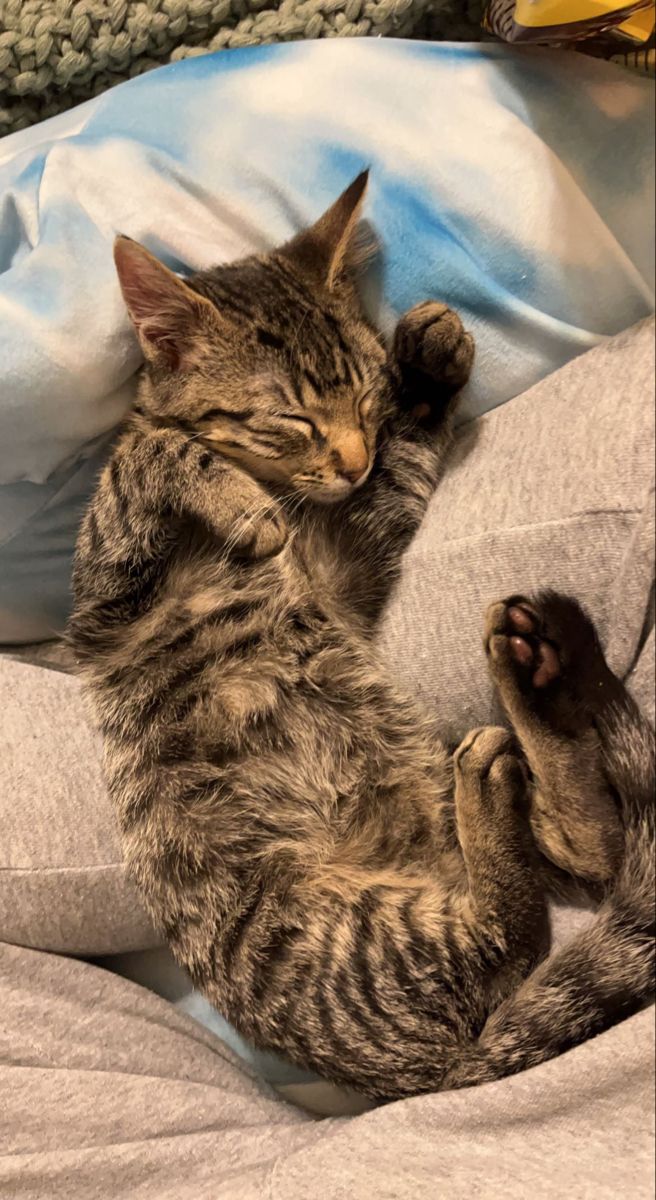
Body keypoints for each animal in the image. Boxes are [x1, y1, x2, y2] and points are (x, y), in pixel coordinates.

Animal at [69, 174, 652, 1099]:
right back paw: (497, 770)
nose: (349, 459)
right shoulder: (102, 594)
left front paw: (427, 374)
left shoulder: (354, 553)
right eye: (289, 420)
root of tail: (433, 1072)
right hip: (344, 937)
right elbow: (150, 455)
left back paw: (531, 685)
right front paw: (234, 501)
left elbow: (399, 470)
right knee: (515, 924)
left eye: (366, 402)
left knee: (586, 850)